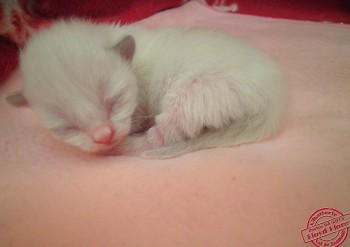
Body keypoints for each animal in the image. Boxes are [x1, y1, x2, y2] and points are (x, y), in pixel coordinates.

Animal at [4, 18, 288, 158]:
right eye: (65, 126)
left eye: (115, 100)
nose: (103, 136)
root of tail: (276, 96)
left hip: (195, 93)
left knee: (160, 137)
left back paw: (121, 149)